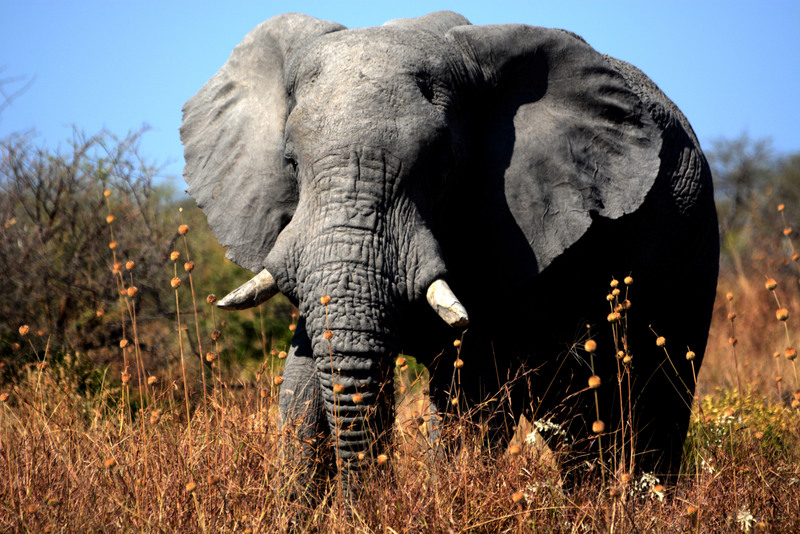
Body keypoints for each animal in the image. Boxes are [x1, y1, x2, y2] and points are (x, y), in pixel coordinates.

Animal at [181, 11, 719, 494]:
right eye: (291, 164)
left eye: (440, 167)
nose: (366, 503)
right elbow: (302, 386)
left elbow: (472, 392)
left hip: (690, 254)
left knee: (651, 405)